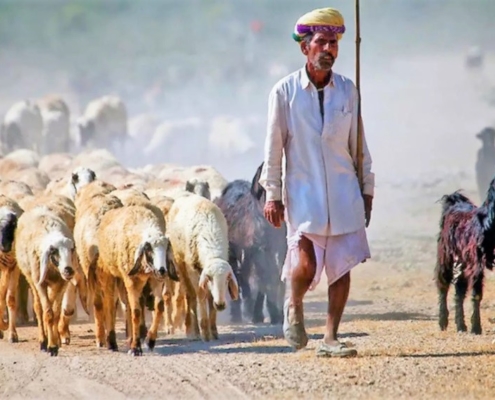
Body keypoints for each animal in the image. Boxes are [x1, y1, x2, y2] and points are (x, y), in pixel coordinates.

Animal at [13, 206, 78, 356]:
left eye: (72, 249)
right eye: (54, 251)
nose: (69, 270)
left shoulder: (61, 283)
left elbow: (55, 313)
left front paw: (55, 342)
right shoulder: (40, 283)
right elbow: (47, 313)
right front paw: (51, 346)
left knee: (52, 306)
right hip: (32, 278)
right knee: (38, 307)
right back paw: (43, 340)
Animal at [95, 205, 178, 354]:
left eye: (166, 248)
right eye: (148, 248)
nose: (162, 270)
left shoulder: (154, 280)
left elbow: (159, 306)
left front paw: (150, 341)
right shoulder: (132, 280)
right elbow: (136, 311)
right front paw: (135, 348)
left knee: (127, 304)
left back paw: (129, 339)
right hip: (109, 272)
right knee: (110, 304)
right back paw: (112, 342)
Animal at [168, 194, 239, 340]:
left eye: (227, 279)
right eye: (209, 278)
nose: (220, 305)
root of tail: (186, 195)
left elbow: (211, 297)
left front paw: (213, 330)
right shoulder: (193, 270)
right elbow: (200, 295)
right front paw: (205, 332)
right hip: (180, 264)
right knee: (190, 296)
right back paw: (193, 330)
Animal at [436, 178, 495, 334]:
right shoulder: (477, 262)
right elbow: (477, 293)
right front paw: (476, 328)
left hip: (463, 259)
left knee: (459, 288)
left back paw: (461, 325)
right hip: (446, 253)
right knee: (443, 282)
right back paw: (443, 322)